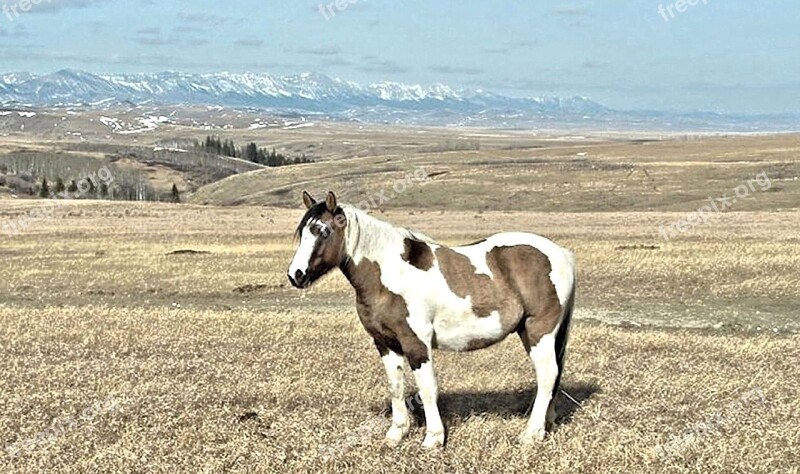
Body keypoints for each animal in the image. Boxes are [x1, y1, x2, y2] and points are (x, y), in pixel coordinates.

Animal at [288, 191, 576, 446]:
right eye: (302, 232)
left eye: (323, 231)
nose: (296, 275)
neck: (389, 273)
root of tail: (562, 254)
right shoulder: (385, 343)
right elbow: (396, 386)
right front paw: (396, 433)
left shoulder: (416, 342)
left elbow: (427, 388)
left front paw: (433, 438)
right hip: (531, 333)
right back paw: (545, 425)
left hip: (539, 331)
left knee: (547, 375)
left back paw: (530, 434)